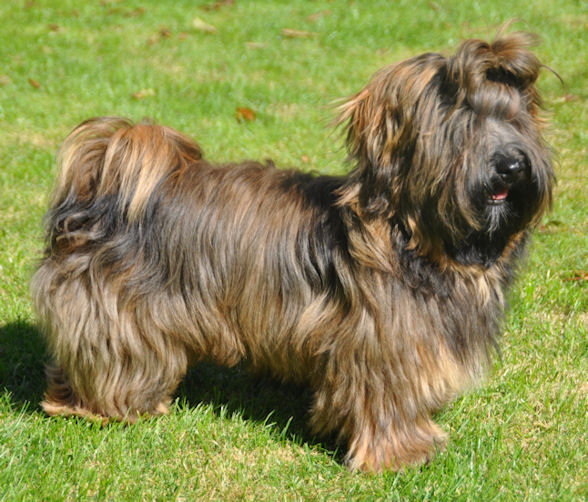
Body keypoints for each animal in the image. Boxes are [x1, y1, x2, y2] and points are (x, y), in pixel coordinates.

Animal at [31, 32, 556, 470]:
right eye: (463, 124)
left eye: (515, 120)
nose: (512, 165)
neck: (412, 234)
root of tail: (96, 191)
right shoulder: (378, 344)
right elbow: (385, 399)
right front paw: (402, 454)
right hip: (118, 309)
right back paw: (105, 407)